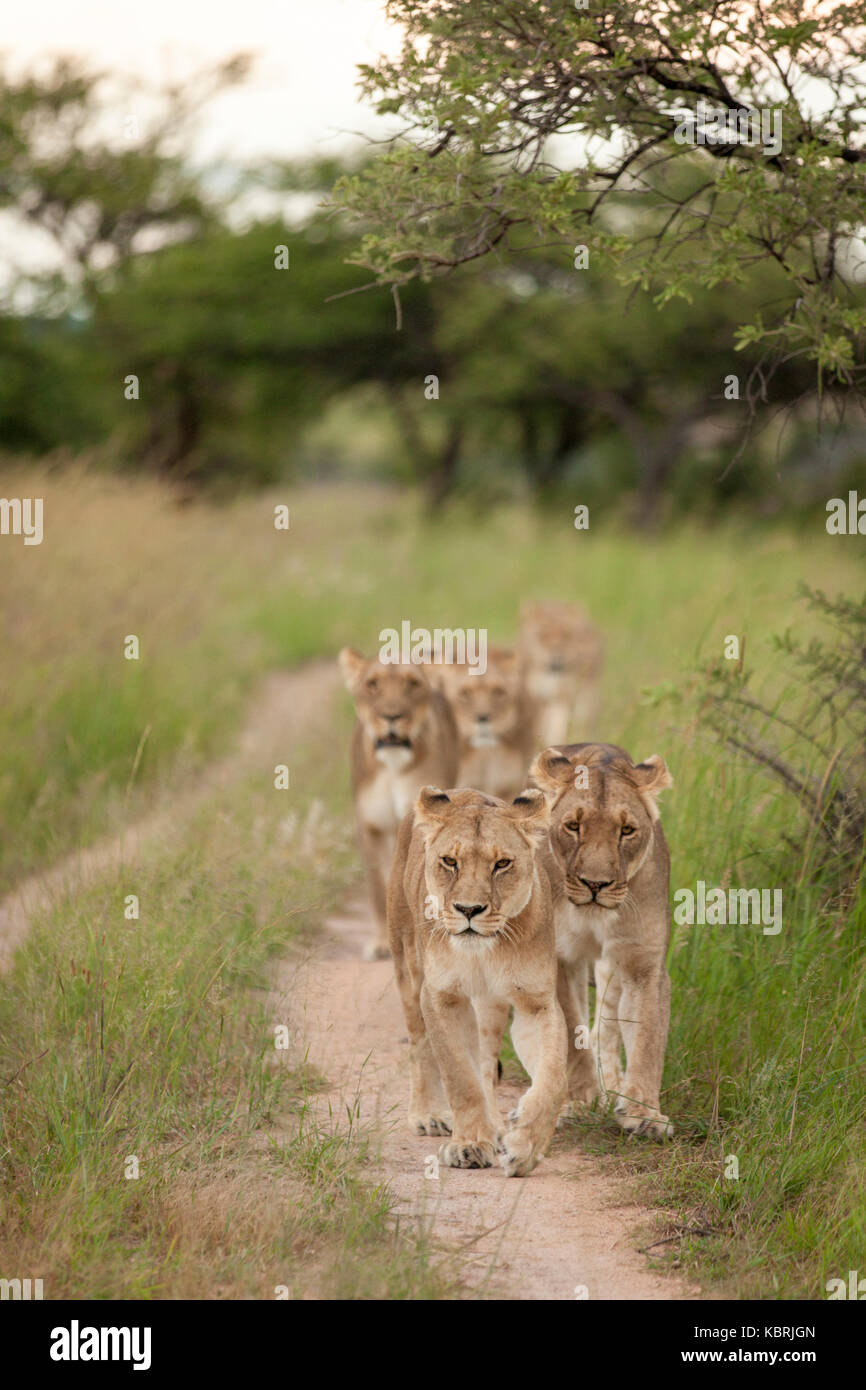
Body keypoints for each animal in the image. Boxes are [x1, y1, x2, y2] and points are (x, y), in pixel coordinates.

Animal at [339, 647, 461, 956]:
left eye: (412, 684)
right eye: (372, 684)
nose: (391, 716)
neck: (393, 765)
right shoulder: (368, 826)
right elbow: (377, 887)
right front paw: (382, 943)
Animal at [389, 789, 569, 1178]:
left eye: (502, 863)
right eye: (449, 861)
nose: (468, 910)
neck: (484, 951)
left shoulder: (537, 1003)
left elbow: (552, 1079)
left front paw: (524, 1146)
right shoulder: (441, 997)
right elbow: (460, 1076)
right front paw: (468, 1145)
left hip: (491, 1004)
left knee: (486, 1063)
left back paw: (496, 1128)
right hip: (407, 967)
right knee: (419, 1043)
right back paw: (428, 1114)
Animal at [522, 600, 603, 750]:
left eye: (566, 635)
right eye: (543, 635)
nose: (556, 654)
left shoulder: (563, 696)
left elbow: (558, 726)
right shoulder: (536, 697)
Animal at [528, 745, 678, 1134]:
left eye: (626, 830)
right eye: (573, 826)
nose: (596, 884)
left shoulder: (643, 962)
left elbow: (646, 1036)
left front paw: (643, 1113)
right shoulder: (557, 960)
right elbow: (571, 1035)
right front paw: (581, 1102)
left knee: (605, 1030)